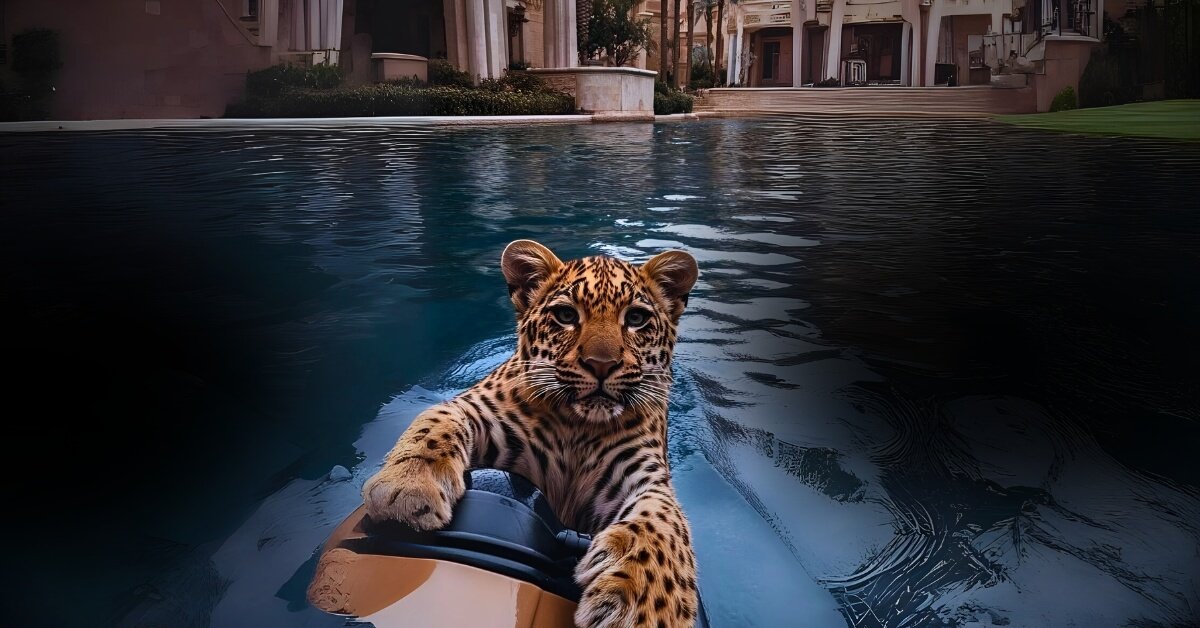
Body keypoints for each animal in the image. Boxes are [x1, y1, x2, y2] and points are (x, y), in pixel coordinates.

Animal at [362, 239, 701, 628]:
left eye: (635, 319)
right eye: (566, 315)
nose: (601, 364)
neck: (579, 428)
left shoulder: (643, 474)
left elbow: (664, 521)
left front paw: (645, 606)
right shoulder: (478, 411)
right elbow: (436, 420)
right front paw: (408, 486)